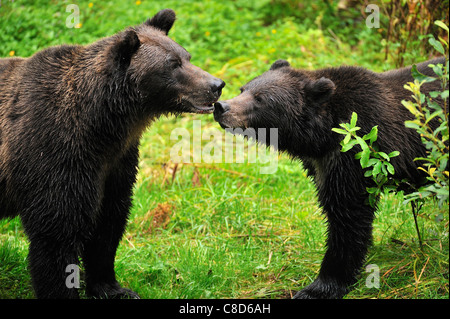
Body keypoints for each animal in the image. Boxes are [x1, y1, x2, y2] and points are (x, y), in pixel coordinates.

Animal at [0, 10, 225, 300]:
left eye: (187, 56)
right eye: (172, 64)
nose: (217, 84)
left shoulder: (116, 162)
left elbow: (108, 222)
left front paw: (112, 288)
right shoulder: (51, 150)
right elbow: (56, 231)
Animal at [214, 57, 442, 300]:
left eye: (261, 99)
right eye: (243, 89)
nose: (221, 107)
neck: (324, 135)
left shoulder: (353, 157)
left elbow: (347, 218)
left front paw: (320, 287)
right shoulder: (323, 165)